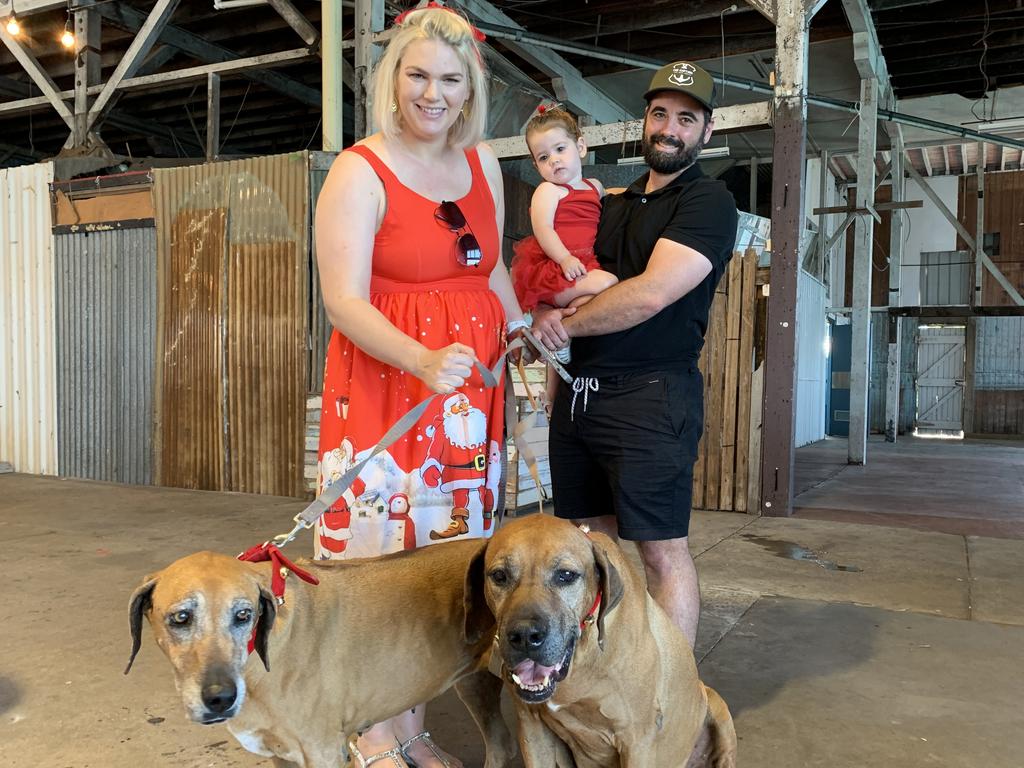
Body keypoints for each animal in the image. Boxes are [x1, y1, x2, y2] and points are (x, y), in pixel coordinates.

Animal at [471, 514, 737, 765]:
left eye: (565, 575)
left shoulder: (638, 742)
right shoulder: (531, 726)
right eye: (499, 575)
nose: (525, 636)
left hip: (716, 707)